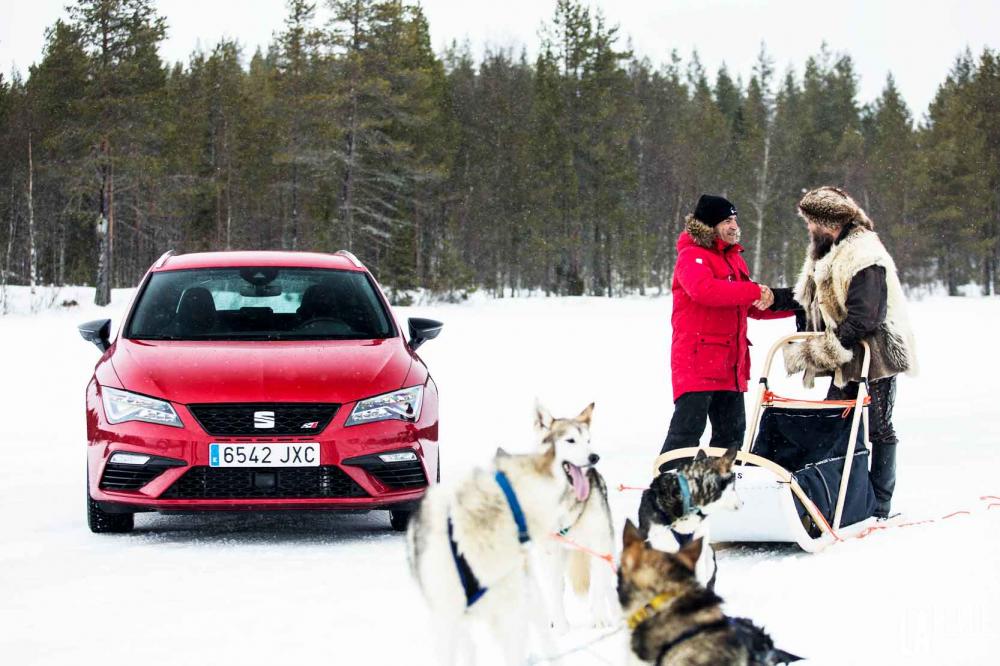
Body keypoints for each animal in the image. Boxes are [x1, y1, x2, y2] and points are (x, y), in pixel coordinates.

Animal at [536, 402, 620, 632]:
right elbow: (555, 592)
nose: (594, 457)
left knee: (607, 585)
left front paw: (599, 619)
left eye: (588, 441)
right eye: (570, 440)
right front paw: (562, 628)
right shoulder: (552, 553)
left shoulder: (599, 546)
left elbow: (598, 588)